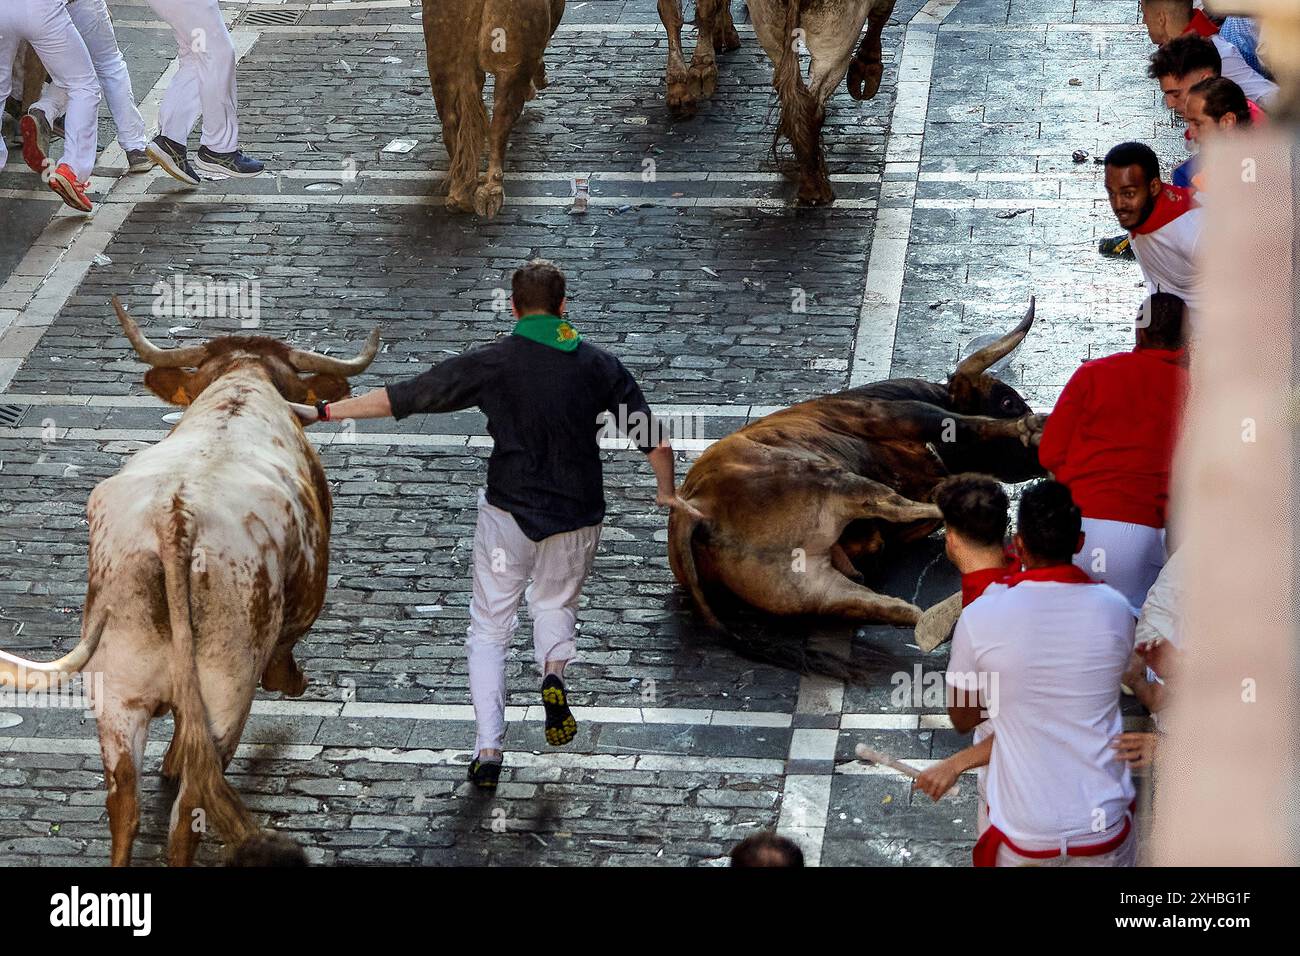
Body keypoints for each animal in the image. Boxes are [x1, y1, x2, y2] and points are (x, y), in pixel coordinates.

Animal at [0, 299, 379, 868]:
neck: (241, 386)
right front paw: (290, 679)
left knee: (125, 802)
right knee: (190, 811)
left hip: (118, 698)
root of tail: (175, 515)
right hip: (226, 695)